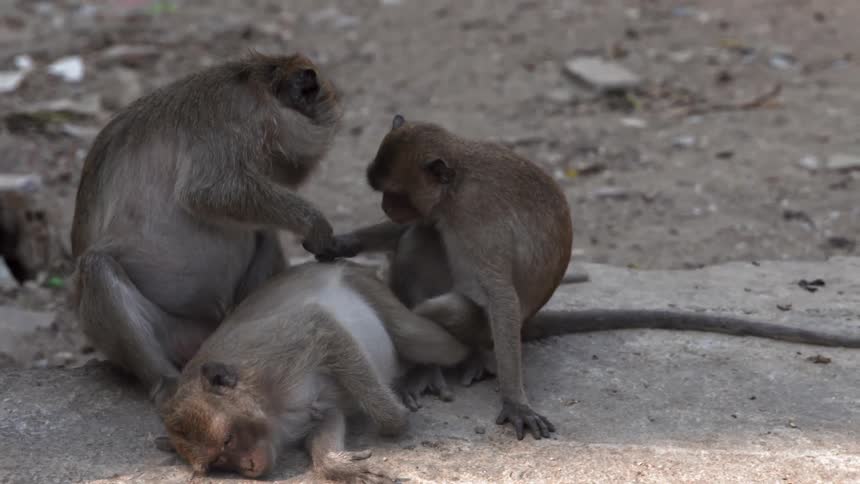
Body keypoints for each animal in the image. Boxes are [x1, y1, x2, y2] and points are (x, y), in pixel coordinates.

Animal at [69, 52, 349, 405]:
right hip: (175, 333)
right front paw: (314, 223)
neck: (257, 84)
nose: (297, 173)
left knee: (263, 235)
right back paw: (164, 381)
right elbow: (210, 192)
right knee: (97, 267)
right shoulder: (231, 116)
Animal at [154, 261, 470, 482]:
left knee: (424, 340)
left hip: (369, 288)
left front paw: (396, 420)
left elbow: (322, 326)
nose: (249, 468)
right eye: (218, 463)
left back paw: (437, 367)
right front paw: (338, 465)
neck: (268, 407)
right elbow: (328, 417)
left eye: (227, 440)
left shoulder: (274, 356)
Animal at [314, 114, 860, 441]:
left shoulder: (474, 222)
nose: (388, 207)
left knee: (450, 298)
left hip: (478, 321)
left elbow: (500, 296)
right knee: (420, 237)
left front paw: (515, 400)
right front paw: (339, 243)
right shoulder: (442, 211)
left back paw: (465, 357)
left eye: (396, 194)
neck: (458, 182)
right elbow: (409, 232)